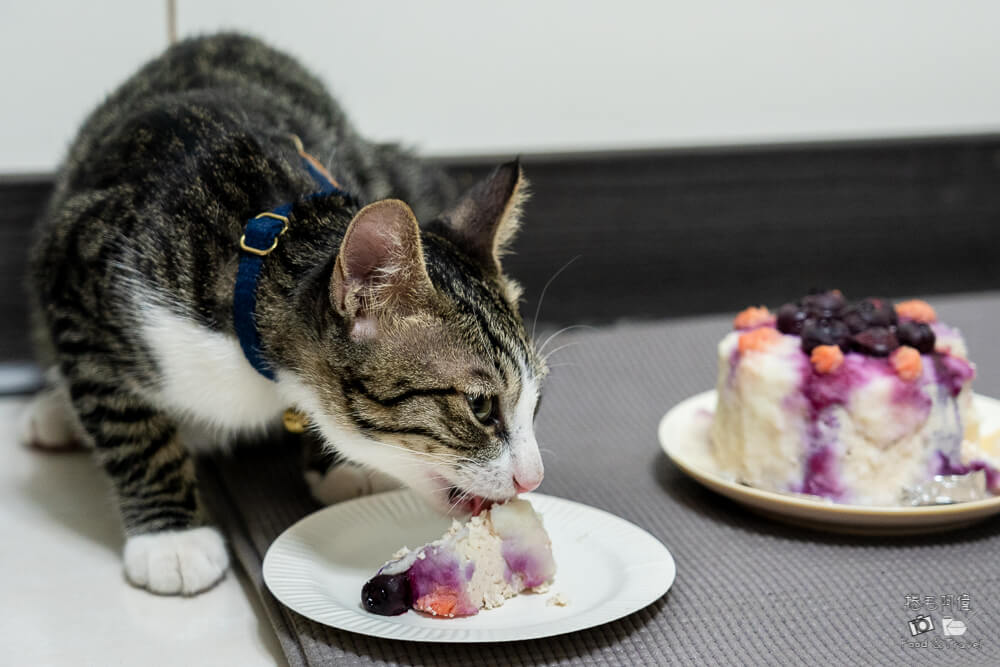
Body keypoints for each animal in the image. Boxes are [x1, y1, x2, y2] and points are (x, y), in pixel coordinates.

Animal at [21, 32, 548, 596]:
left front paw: (335, 465)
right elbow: (129, 426)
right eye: (480, 407)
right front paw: (171, 539)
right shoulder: (77, 281)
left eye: (536, 403)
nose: (532, 477)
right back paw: (56, 411)